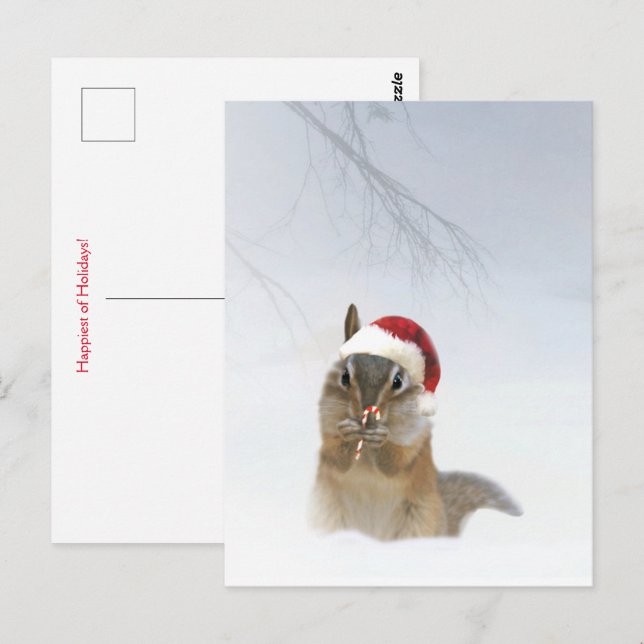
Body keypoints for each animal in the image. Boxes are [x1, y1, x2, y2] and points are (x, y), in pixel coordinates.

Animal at [310, 304, 522, 540]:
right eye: (345, 376)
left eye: (398, 381)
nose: (368, 413)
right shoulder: (326, 433)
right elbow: (334, 456)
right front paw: (348, 432)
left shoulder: (416, 441)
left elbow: (397, 462)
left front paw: (381, 438)